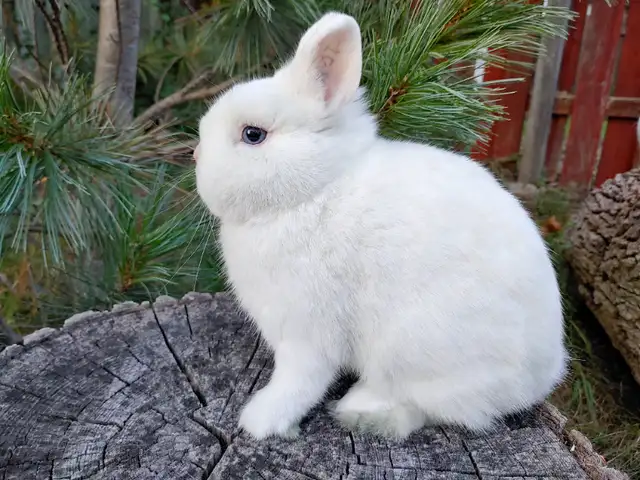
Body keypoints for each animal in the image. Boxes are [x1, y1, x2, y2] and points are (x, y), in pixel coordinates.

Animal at [194, 12, 568, 440]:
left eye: (252, 134)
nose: (196, 154)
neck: (312, 192)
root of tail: (541, 378)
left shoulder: (307, 332)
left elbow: (300, 380)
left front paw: (261, 421)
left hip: (411, 347)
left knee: (432, 409)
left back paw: (360, 410)